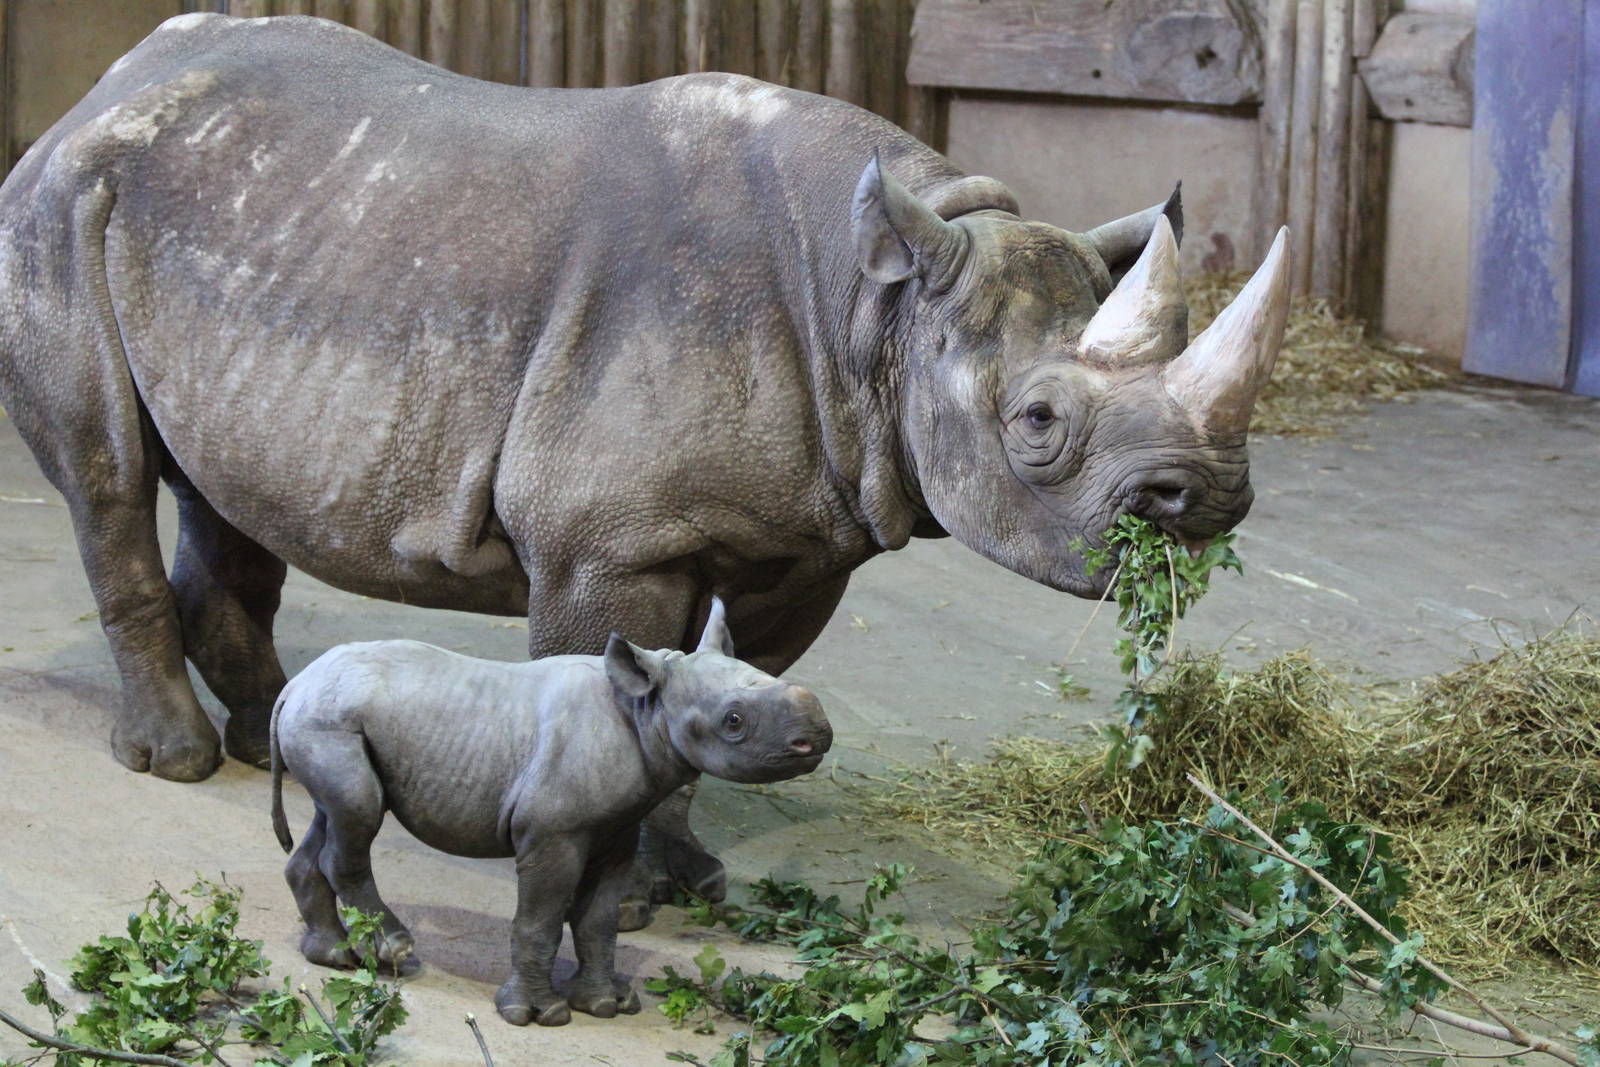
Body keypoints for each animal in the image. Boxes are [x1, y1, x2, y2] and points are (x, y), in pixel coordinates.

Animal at [0, 13, 1289, 922]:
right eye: (1035, 420)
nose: (1208, 498)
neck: (878, 308)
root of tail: (100, 90)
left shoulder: (797, 537)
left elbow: (709, 699)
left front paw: (685, 878)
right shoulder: (603, 544)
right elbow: (609, 696)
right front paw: (606, 890)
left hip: (246, 217)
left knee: (226, 487)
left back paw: (280, 743)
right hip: (62, 208)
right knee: (108, 472)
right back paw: (177, 763)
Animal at [270, 599, 829, 1025]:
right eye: (733, 721)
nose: (818, 735)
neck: (645, 708)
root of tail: (293, 686)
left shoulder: (616, 829)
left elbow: (598, 919)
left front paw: (607, 1004)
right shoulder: (550, 833)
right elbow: (539, 920)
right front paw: (538, 1016)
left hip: (328, 721)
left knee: (336, 815)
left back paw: (336, 958)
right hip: (329, 721)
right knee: (358, 817)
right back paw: (398, 951)